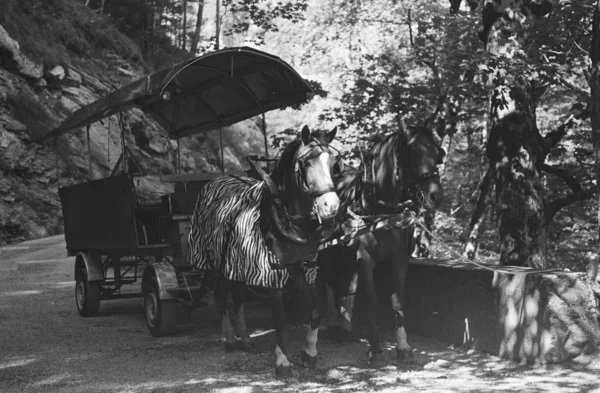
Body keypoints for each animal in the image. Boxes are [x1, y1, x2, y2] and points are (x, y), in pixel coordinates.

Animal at [190, 126, 344, 376]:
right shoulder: (273, 271)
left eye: (334, 163)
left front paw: (309, 352)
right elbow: (279, 318)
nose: (331, 206)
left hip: (238, 262)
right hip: (217, 263)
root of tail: (217, 179)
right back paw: (229, 338)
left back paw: (245, 338)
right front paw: (282, 361)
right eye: (306, 163)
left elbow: (317, 308)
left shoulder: (304, 267)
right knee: (222, 296)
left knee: (238, 295)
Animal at [318, 123, 446, 368]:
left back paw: (345, 327)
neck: (381, 210)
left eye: (437, 153)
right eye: (413, 152)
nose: (436, 195)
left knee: (347, 287)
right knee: (326, 284)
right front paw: (376, 350)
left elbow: (397, 300)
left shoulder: (399, 258)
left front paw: (403, 347)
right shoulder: (366, 259)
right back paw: (326, 324)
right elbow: (371, 300)